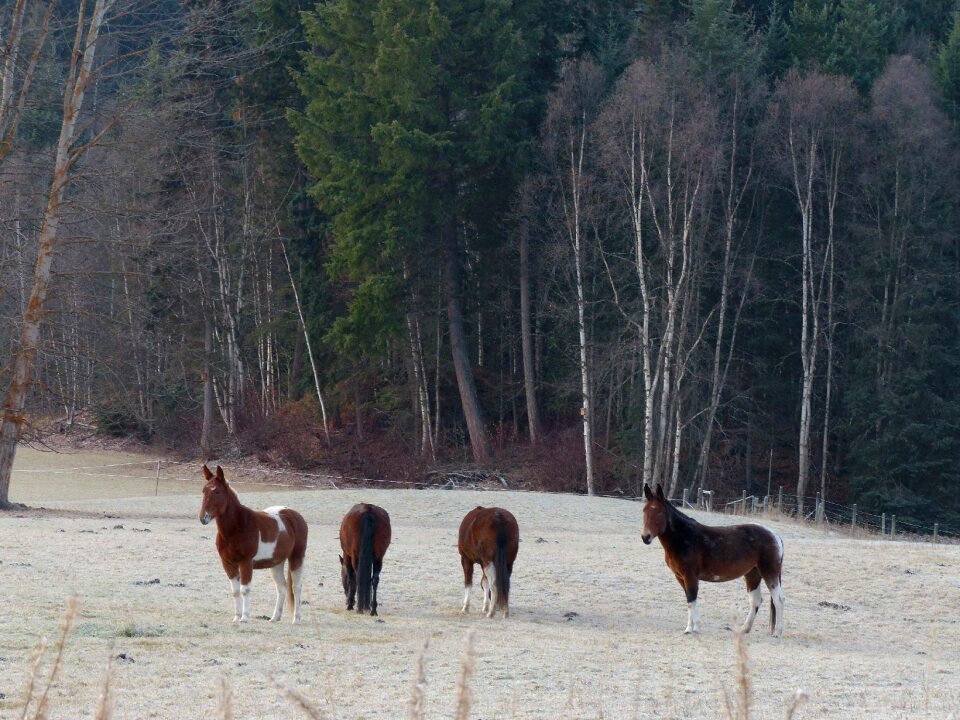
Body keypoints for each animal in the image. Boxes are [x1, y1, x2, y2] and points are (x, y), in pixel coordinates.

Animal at [199, 466, 308, 624]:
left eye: (217, 491)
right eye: (204, 491)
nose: (203, 518)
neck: (237, 527)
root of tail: (294, 515)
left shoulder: (246, 563)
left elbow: (245, 589)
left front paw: (244, 617)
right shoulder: (228, 563)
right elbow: (235, 591)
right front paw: (236, 617)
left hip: (296, 557)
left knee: (296, 586)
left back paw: (296, 619)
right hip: (276, 563)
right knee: (281, 587)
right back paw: (274, 618)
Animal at [640, 484, 784, 636]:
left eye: (659, 512)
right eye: (644, 510)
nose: (645, 537)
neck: (684, 537)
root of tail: (774, 535)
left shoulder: (690, 576)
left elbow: (692, 599)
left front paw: (692, 629)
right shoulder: (680, 577)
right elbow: (689, 600)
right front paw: (692, 628)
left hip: (769, 572)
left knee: (778, 599)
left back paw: (777, 633)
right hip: (753, 573)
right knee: (755, 600)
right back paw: (744, 629)